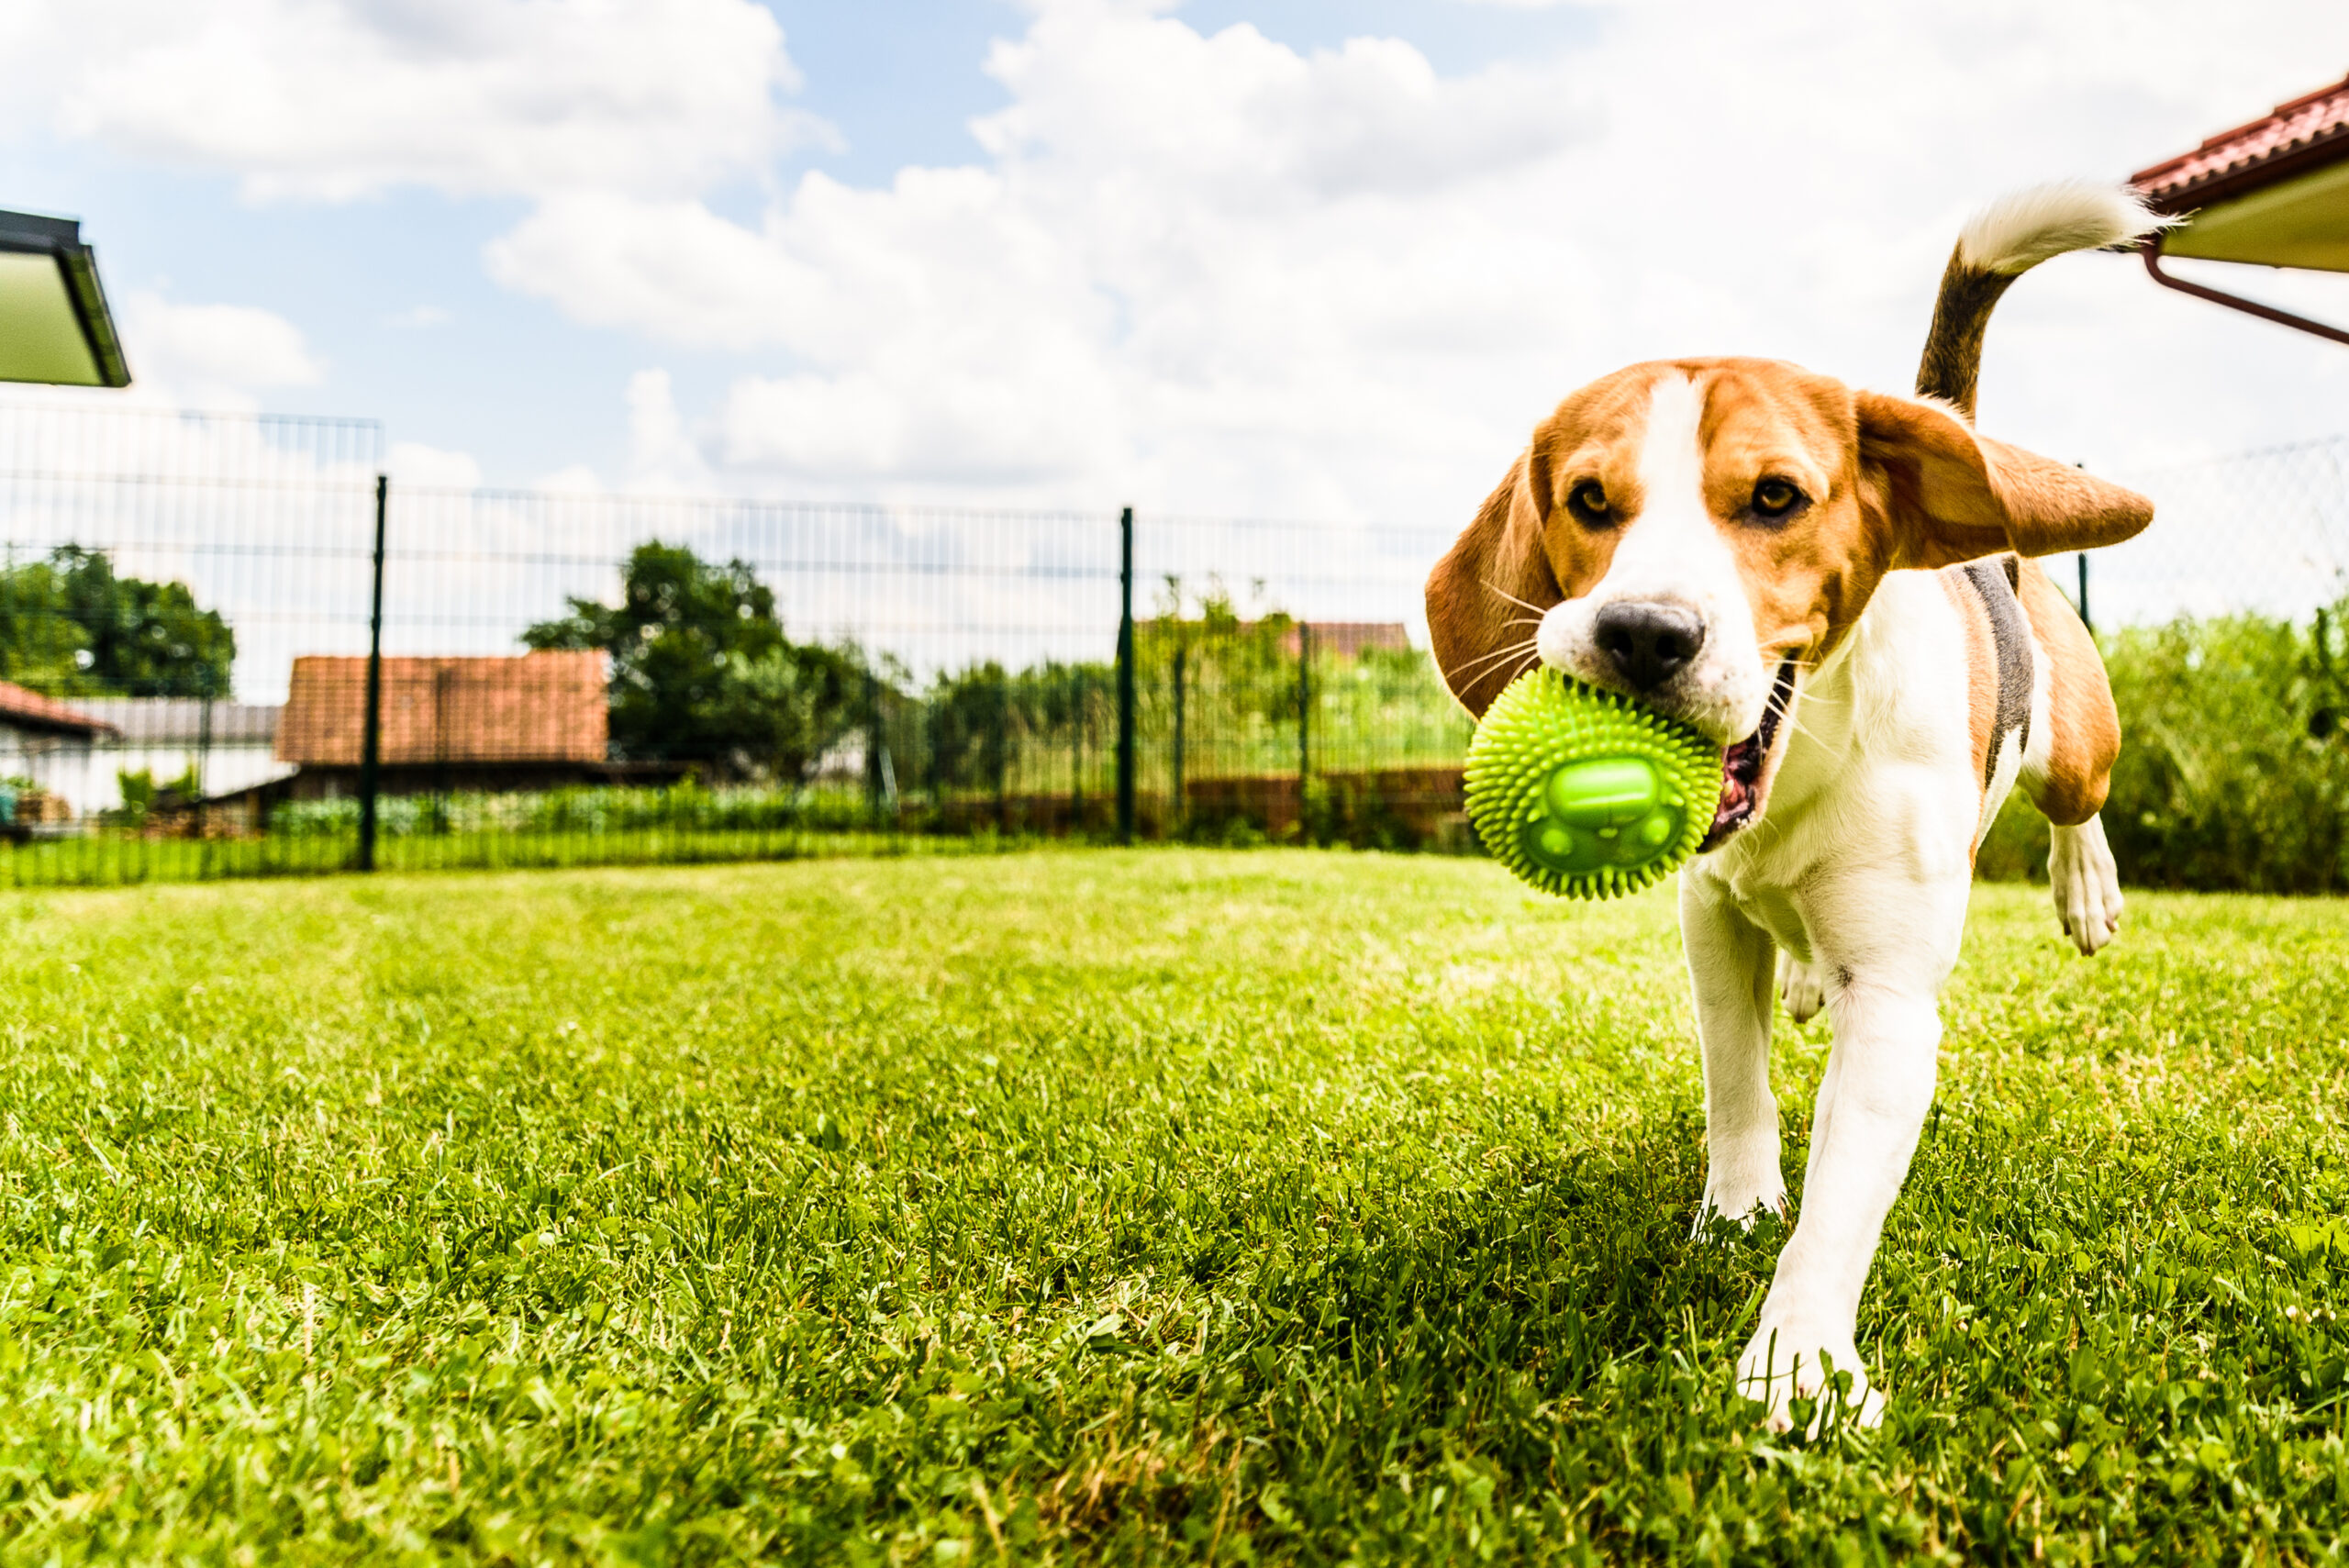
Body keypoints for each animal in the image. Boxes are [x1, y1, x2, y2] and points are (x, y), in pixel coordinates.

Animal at [1419, 186, 2151, 1436]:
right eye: (1588, 501)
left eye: (1775, 498)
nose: (1642, 633)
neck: (1797, 766)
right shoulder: (1709, 921)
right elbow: (1736, 1081)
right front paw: (1738, 1207)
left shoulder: (1894, 1000)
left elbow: (1839, 1203)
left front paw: (1799, 1359)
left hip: (2074, 748)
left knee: (2076, 801)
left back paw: (2084, 884)